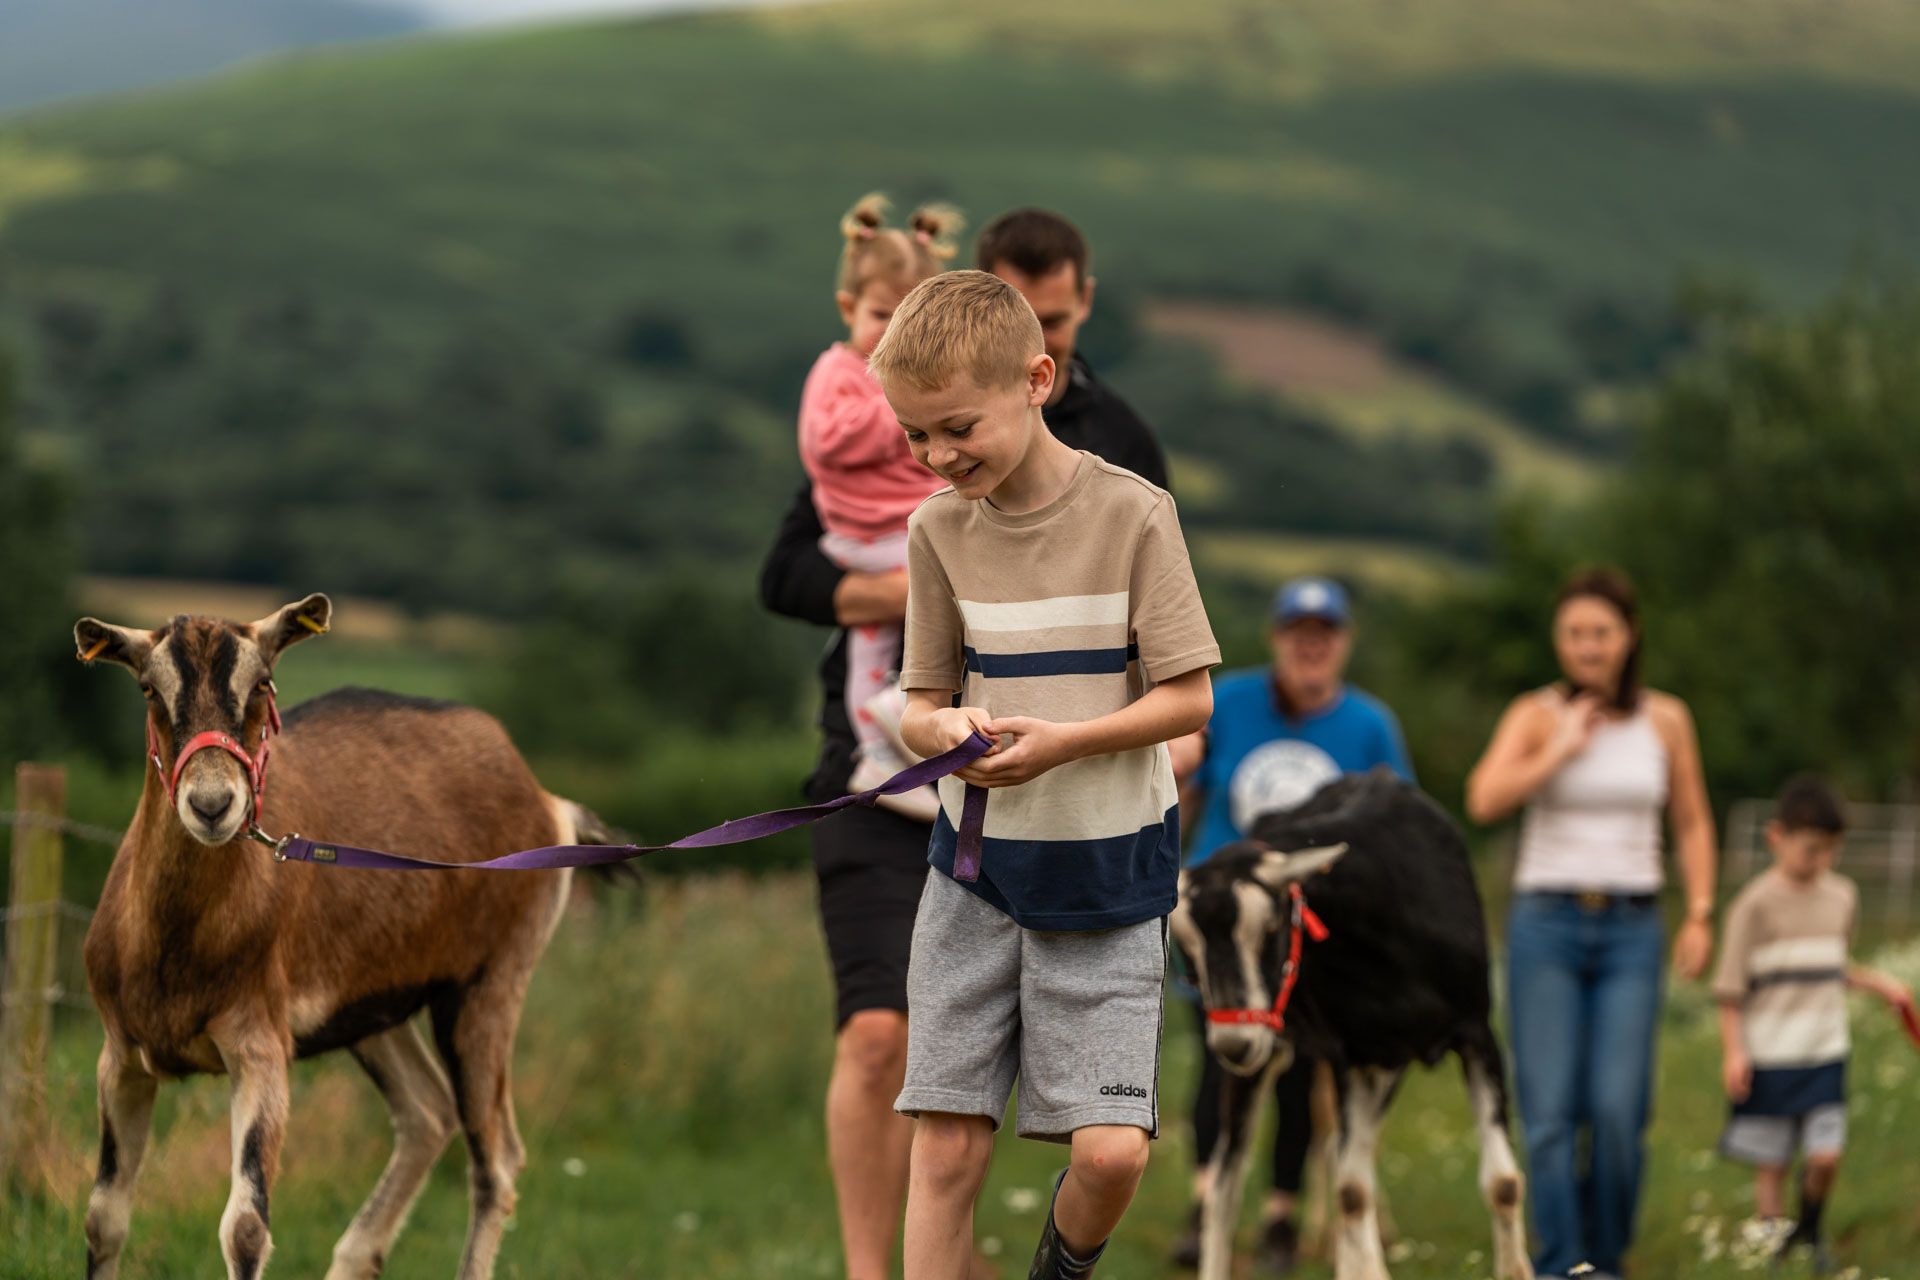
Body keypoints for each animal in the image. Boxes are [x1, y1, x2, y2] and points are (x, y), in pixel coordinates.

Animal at [74, 595, 600, 1280]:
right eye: (148, 690)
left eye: (262, 684)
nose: (213, 804)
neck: (174, 948)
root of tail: (546, 800)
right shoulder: (121, 1056)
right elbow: (103, 1218)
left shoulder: (259, 1044)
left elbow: (245, 1227)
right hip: (373, 1006)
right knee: (428, 1112)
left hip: (491, 982)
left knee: (496, 1159)